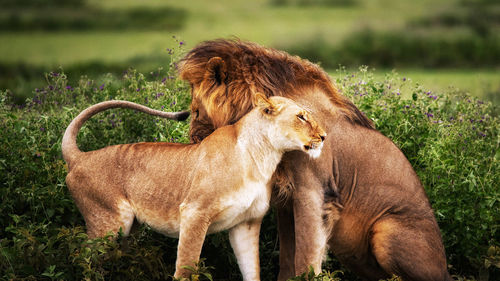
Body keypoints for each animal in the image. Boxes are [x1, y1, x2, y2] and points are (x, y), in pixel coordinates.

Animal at [60, 95, 326, 278]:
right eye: (301, 116)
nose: (324, 136)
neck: (263, 157)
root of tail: (79, 157)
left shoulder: (246, 223)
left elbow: (252, 270)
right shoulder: (194, 212)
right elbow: (186, 265)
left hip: (128, 231)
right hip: (109, 224)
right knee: (83, 259)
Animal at [180, 38, 454, 278]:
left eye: (196, 111)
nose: (194, 142)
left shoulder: (313, 192)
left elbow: (305, 258)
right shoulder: (286, 201)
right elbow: (287, 259)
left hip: (386, 231)